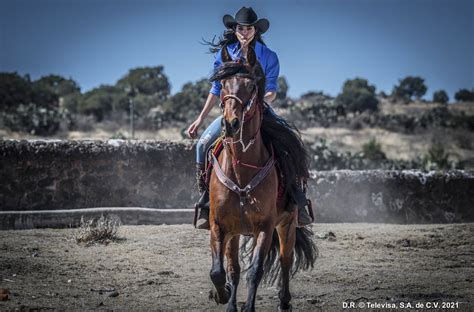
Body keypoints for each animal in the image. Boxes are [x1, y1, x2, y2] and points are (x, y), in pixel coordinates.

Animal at [208, 46, 316, 312]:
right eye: (222, 84)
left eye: (250, 85)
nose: (230, 124)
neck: (241, 172)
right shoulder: (220, 226)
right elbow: (221, 271)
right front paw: (223, 297)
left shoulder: (265, 228)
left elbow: (255, 271)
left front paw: (247, 307)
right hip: (238, 232)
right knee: (233, 267)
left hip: (287, 225)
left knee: (285, 260)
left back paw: (284, 302)